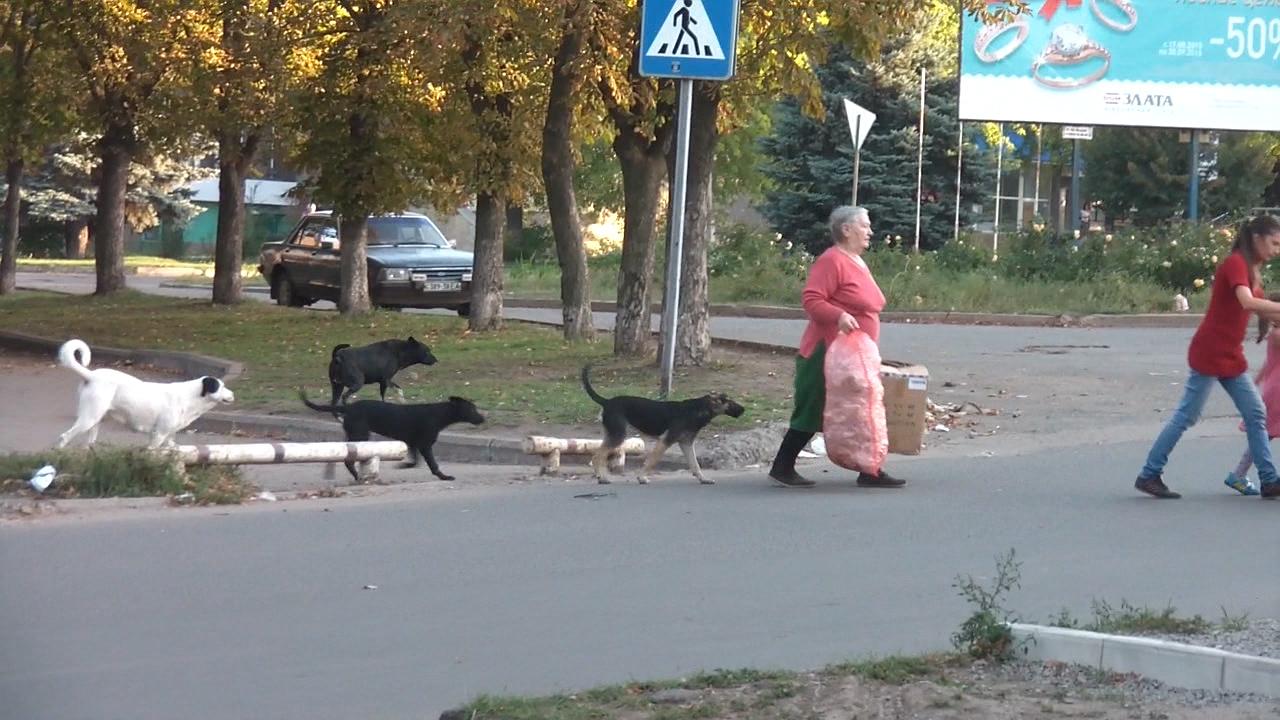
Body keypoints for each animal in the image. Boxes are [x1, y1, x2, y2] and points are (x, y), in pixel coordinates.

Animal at [53, 338, 235, 448]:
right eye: (221, 386)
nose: (233, 394)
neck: (190, 397)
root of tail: (91, 375)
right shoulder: (159, 435)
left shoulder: (168, 437)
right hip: (88, 418)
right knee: (64, 437)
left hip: (95, 421)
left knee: (88, 444)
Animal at [299, 389, 483, 479]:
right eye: (472, 409)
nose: (483, 418)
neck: (439, 414)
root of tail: (348, 407)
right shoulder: (425, 444)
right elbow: (433, 464)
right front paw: (444, 477)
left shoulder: (413, 442)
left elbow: (415, 461)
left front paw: (405, 465)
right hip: (360, 435)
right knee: (348, 460)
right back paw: (358, 476)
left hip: (355, 434)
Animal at [578, 363, 742, 481]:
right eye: (728, 402)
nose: (743, 409)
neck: (698, 410)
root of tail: (606, 402)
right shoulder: (666, 440)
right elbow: (652, 461)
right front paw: (642, 477)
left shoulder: (686, 443)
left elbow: (695, 464)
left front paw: (703, 479)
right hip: (618, 435)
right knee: (597, 456)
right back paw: (603, 477)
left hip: (611, 434)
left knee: (600, 454)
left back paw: (600, 475)